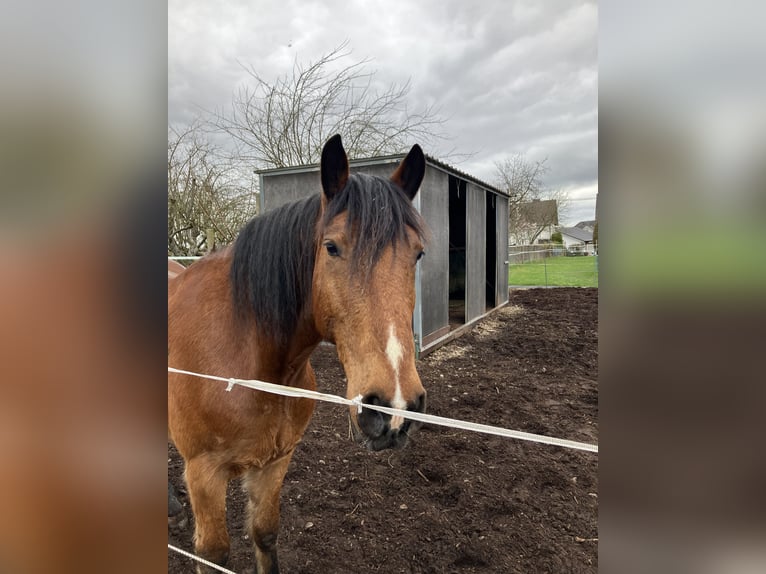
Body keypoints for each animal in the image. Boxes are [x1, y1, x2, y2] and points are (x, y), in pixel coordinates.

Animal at [168, 134, 428, 574]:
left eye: (418, 253)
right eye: (332, 247)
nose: (393, 406)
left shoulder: (275, 461)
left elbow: (265, 533)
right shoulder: (204, 475)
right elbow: (213, 555)